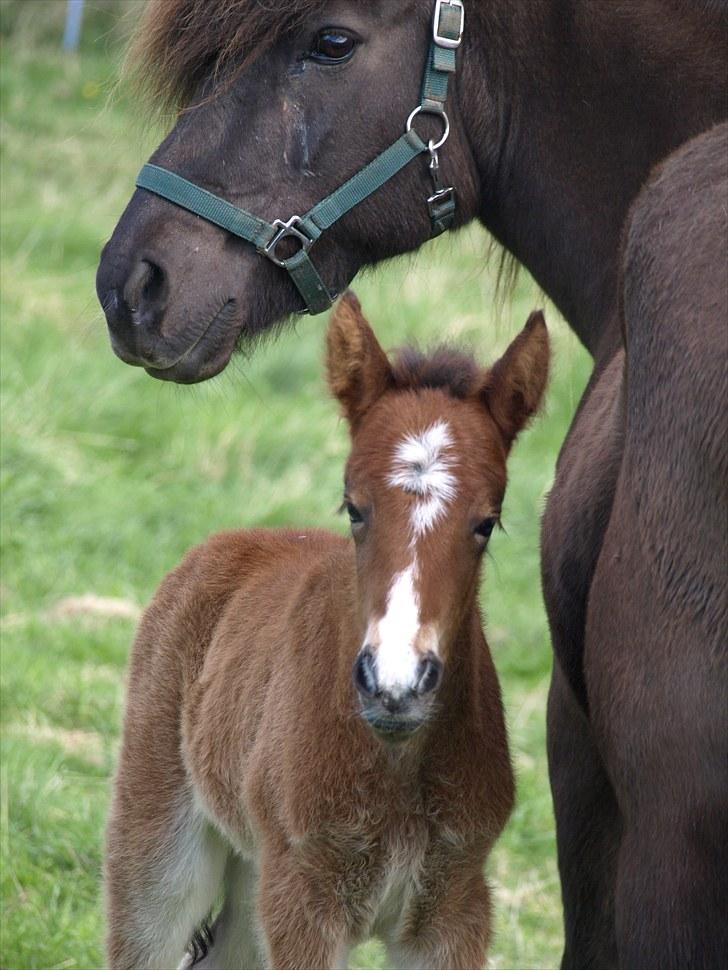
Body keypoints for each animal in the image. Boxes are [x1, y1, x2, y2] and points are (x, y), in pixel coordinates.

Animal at [106, 294, 552, 968]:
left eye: (487, 523)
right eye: (354, 507)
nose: (396, 685)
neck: (396, 763)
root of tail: (238, 540)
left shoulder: (453, 909)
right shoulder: (305, 903)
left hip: (254, 877)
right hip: (162, 841)